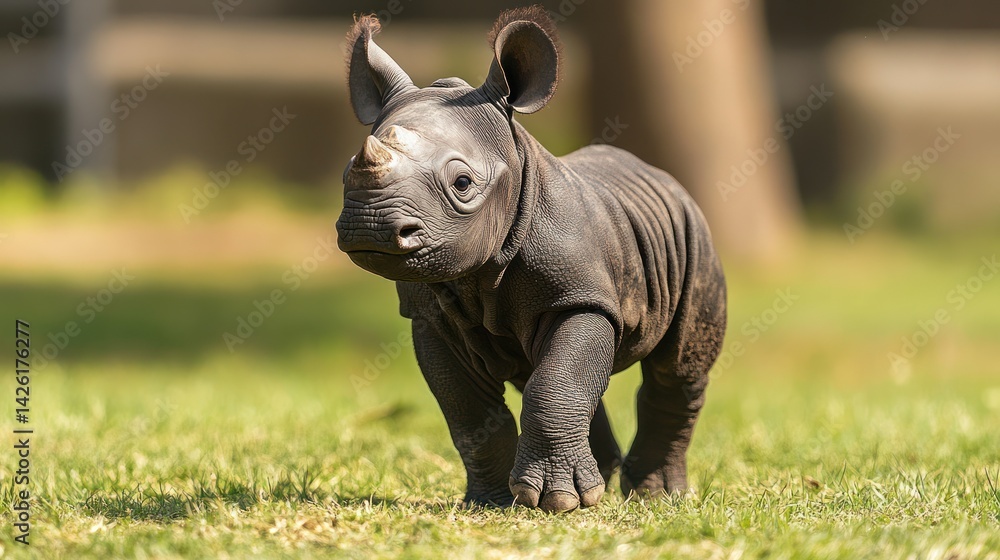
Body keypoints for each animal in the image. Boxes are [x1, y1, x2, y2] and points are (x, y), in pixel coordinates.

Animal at [336, 6, 727, 513]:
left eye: (462, 183)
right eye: (347, 172)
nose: (370, 225)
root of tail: (661, 176)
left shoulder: (581, 296)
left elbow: (556, 383)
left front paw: (557, 502)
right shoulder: (427, 314)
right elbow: (468, 409)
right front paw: (493, 501)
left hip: (693, 238)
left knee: (677, 366)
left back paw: (655, 496)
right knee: (547, 371)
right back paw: (603, 480)